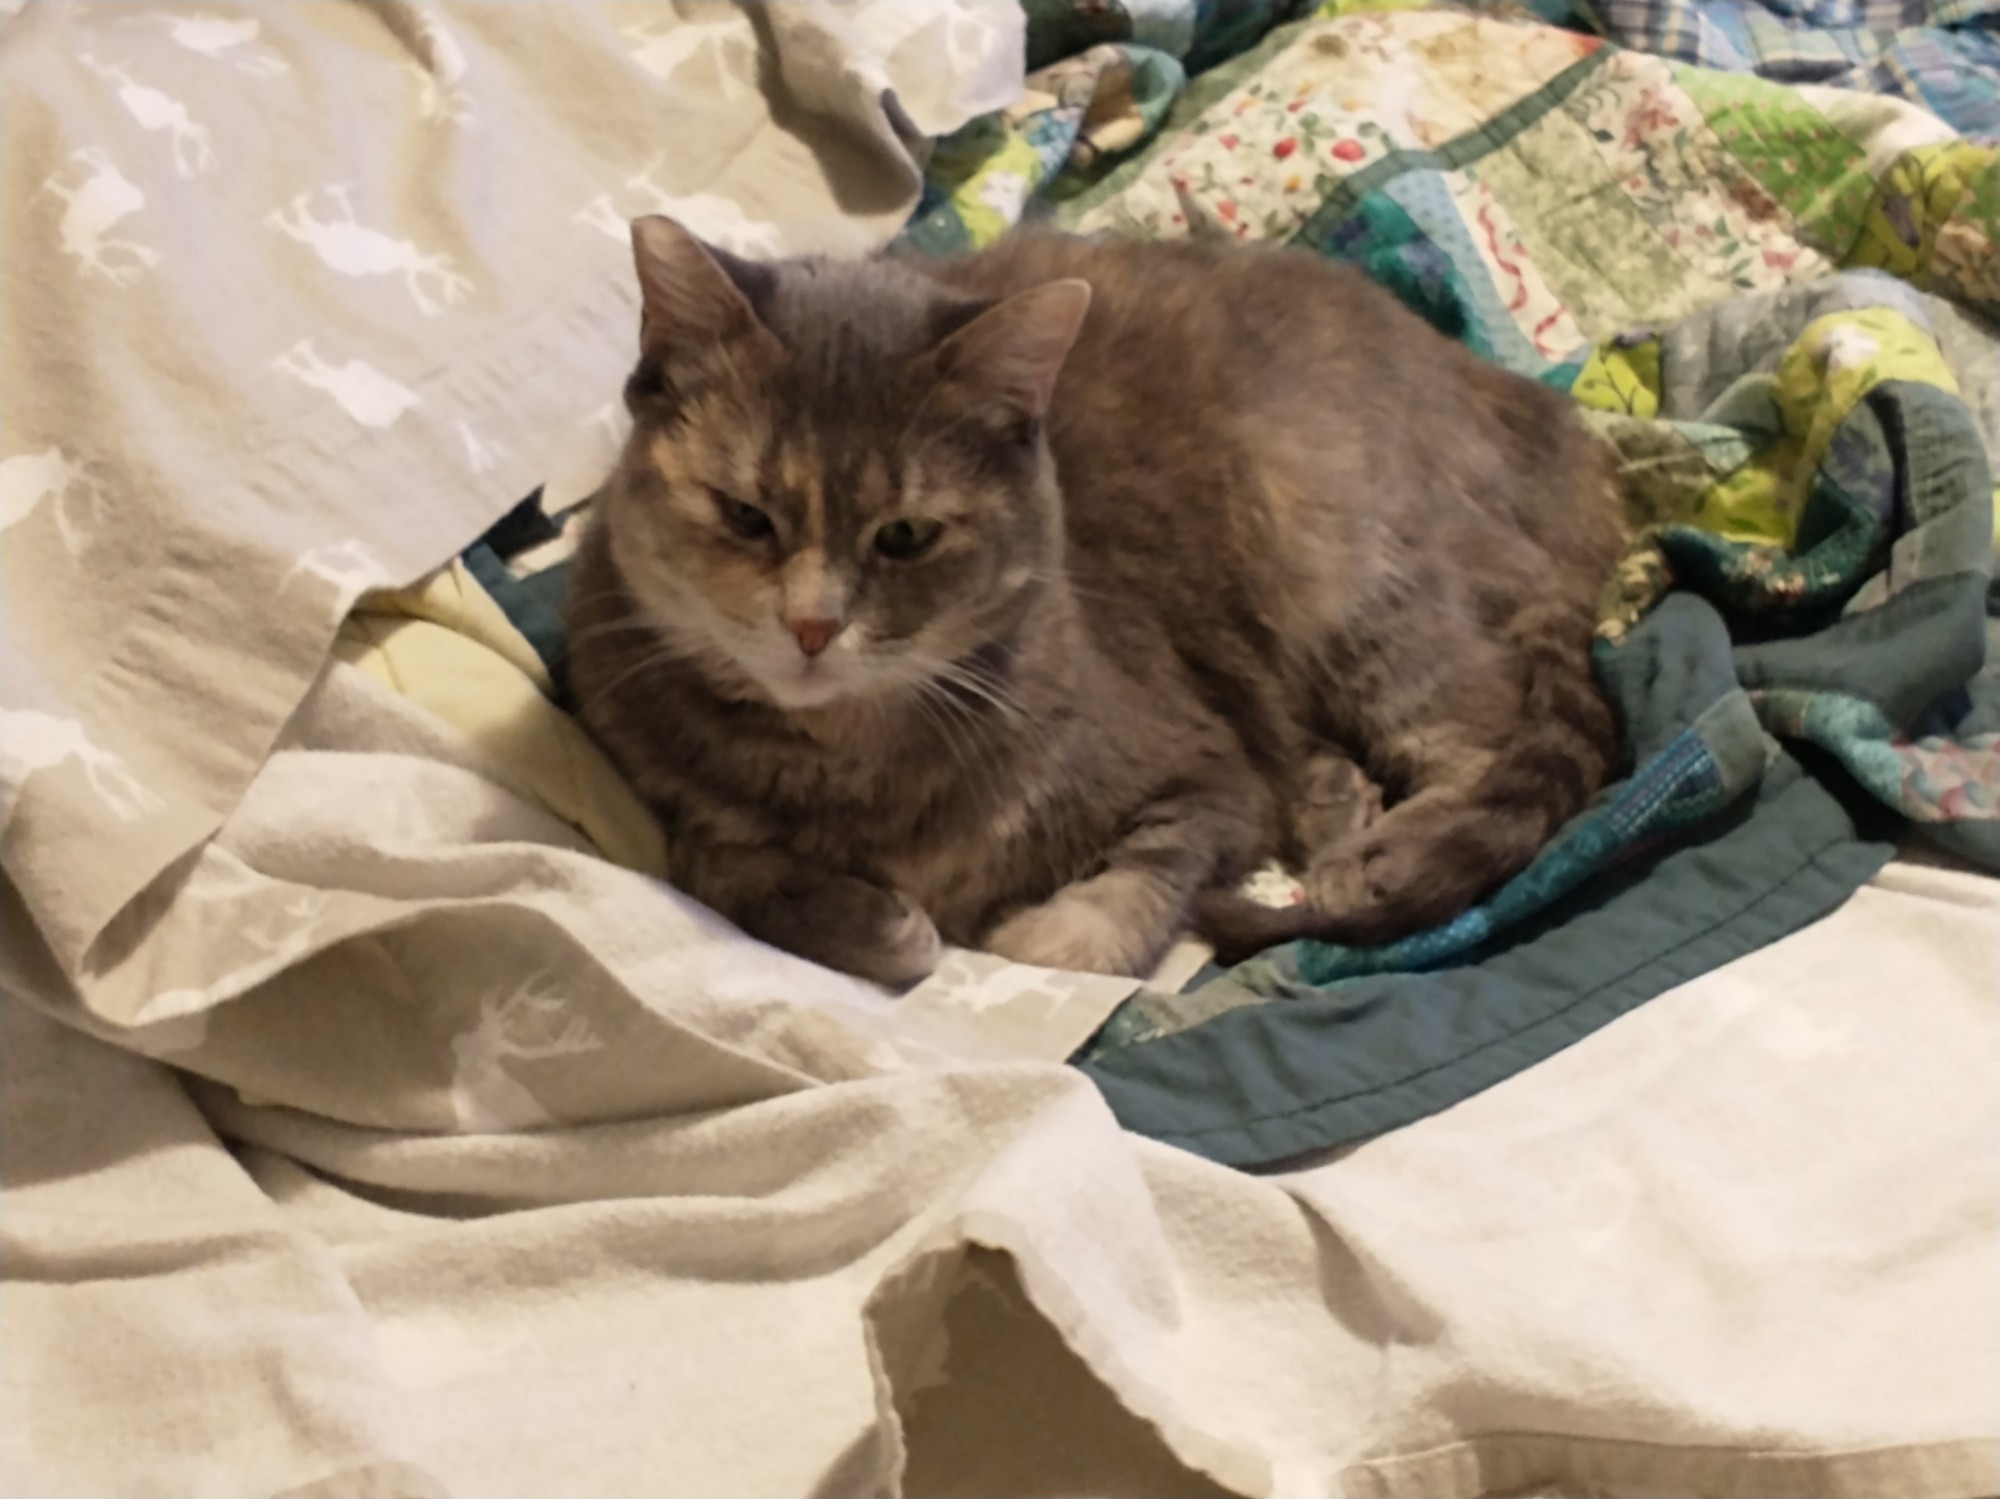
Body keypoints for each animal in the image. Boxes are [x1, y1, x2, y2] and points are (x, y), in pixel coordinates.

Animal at [564, 213, 1624, 987]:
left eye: (904, 536)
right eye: (746, 515)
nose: (813, 626)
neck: (843, 765)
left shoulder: (1204, 770)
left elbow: (1110, 907)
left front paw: (1017, 929)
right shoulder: (671, 799)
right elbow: (712, 861)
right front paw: (867, 918)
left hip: (1353, 578)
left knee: (1484, 737)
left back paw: (1371, 853)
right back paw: (1333, 799)